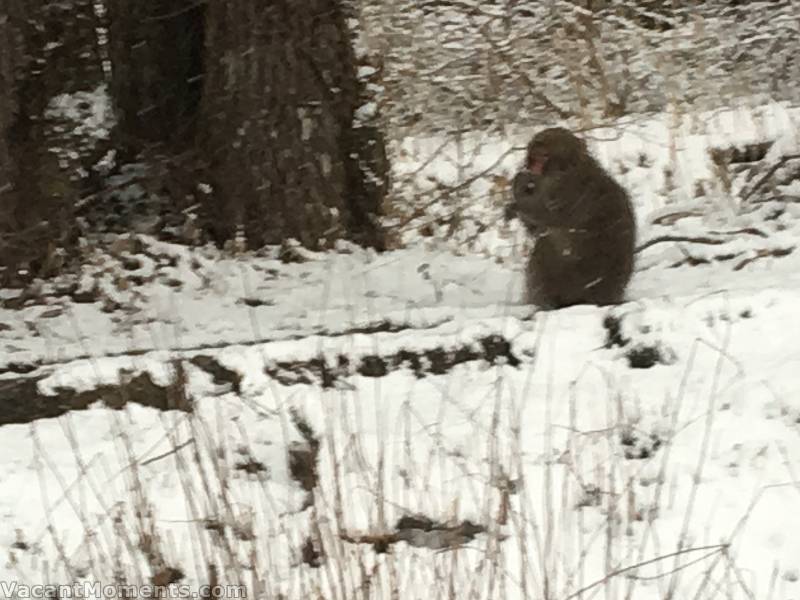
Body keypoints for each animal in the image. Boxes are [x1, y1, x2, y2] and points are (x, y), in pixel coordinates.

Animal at [510, 125, 636, 308]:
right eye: (535, 154)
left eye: (544, 155)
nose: (533, 168)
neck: (567, 168)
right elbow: (537, 229)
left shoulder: (569, 190)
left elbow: (547, 217)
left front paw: (519, 184)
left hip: (566, 279)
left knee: (545, 249)